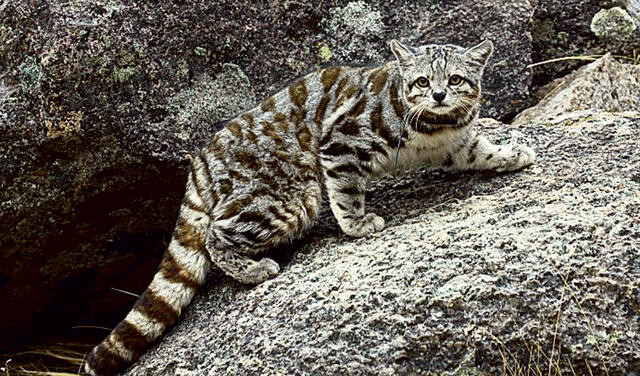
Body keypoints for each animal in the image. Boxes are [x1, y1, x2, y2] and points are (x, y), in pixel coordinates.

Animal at [85, 39, 536, 374]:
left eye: (455, 79)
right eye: (422, 81)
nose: (440, 95)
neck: (435, 125)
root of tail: (200, 166)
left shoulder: (457, 144)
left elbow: (481, 151)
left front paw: (511, 154)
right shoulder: (341, 142)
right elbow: (346, 191)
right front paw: (357, 223)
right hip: (287, 196)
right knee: (216, 235)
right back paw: (252, 268)